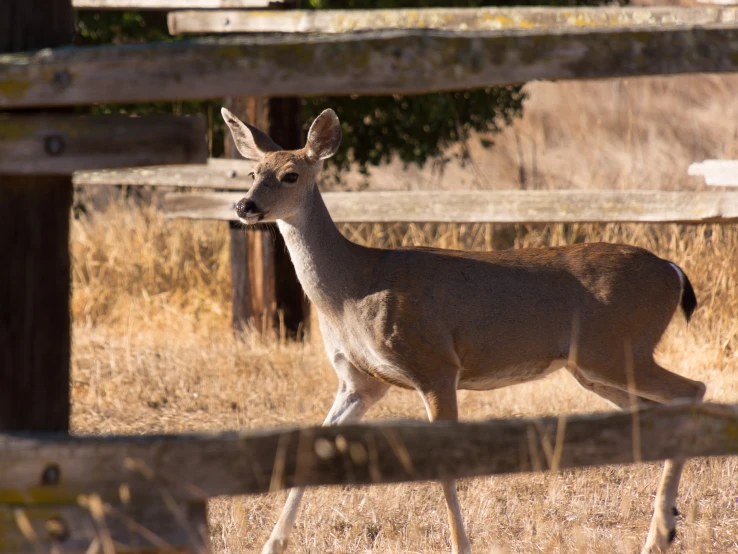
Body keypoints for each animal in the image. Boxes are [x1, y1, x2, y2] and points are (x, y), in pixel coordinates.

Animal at [221, 106, 704, 552]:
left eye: (290, 175)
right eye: (252, 172)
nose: (244, 206)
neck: (352, 289)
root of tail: (673, 271)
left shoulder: (435, 365)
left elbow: (445, 466)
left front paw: (460, 545)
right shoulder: (361, 382)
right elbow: (310, 449)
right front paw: (270, 544)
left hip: (615, 348)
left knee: (693, 389)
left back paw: (661, 533)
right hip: (594, 368)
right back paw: (663, 526)